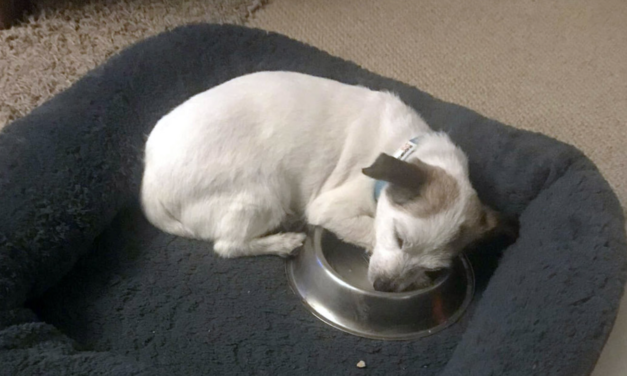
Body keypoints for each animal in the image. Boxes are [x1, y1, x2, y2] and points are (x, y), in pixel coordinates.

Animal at [141, 71, 506, 294]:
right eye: (398, 238)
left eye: (434, 269)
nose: (384, 287)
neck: (406, 147)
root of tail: (149, 186)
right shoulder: (330, 207)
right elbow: (366, 228)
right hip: (263, 193)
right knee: (227, 245)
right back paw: (282, 242)